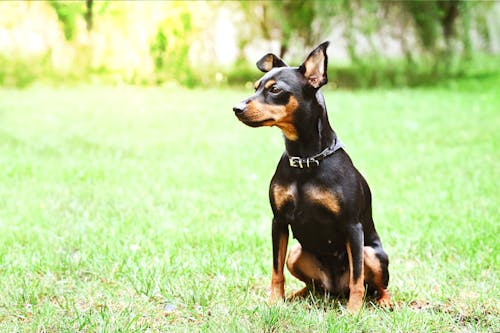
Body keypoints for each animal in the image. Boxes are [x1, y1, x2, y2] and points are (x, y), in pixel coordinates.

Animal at [232, 41, 392, 312]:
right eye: (255, 87)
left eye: (275, 89)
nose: (237, 108)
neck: (305, 160)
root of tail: (336, 288)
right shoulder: (279, 221)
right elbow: (275, 271)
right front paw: (275, 303)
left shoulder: (352, 227)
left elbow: (357, 277)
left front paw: (353, 312)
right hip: (296, 254)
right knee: (313, 286)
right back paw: (297, 295)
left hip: (372, 254)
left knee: (374, 284)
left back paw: (384, 300)